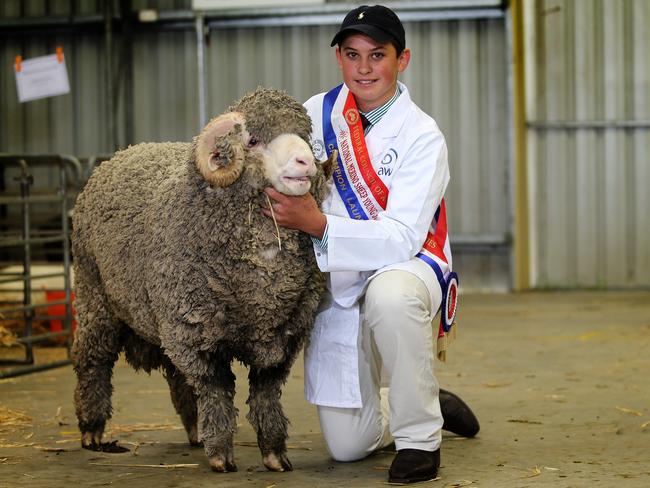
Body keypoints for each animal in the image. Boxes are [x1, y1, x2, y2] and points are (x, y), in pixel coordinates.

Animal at [71, 86, 334, 472]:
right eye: (253, 140)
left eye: (304, 136)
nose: (305, 163)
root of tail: (123, 152)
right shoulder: (196, 335)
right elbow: (216, 388)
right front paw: (221, 454)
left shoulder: (282, 336)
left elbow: (266, 393)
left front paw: (273, 452)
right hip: (95, 294)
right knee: (93, 359)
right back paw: (92, 429)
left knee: (177, 375)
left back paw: (194, 429)